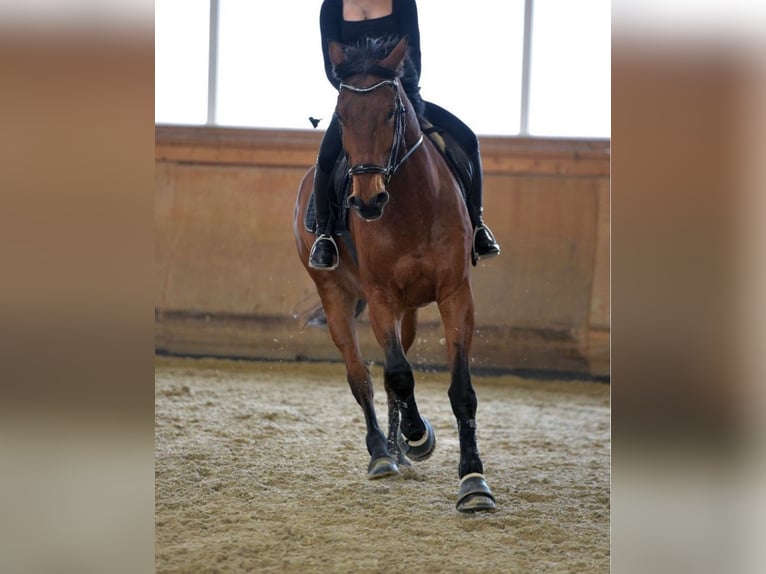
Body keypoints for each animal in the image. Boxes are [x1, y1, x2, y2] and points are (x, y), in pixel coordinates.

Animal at [294, 36, 498, 512]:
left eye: (391, 112)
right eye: (341, 115)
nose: (368, 201)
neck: (412, 206)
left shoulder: (455, 294)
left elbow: (459, 390)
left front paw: (473, 480)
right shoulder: (381, 297)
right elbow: (398, 375)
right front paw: (418, 436)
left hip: (409, 311)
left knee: (390, 376)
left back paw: (398, 449)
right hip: (336, 296)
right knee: (364, 378)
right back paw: (382, 453)